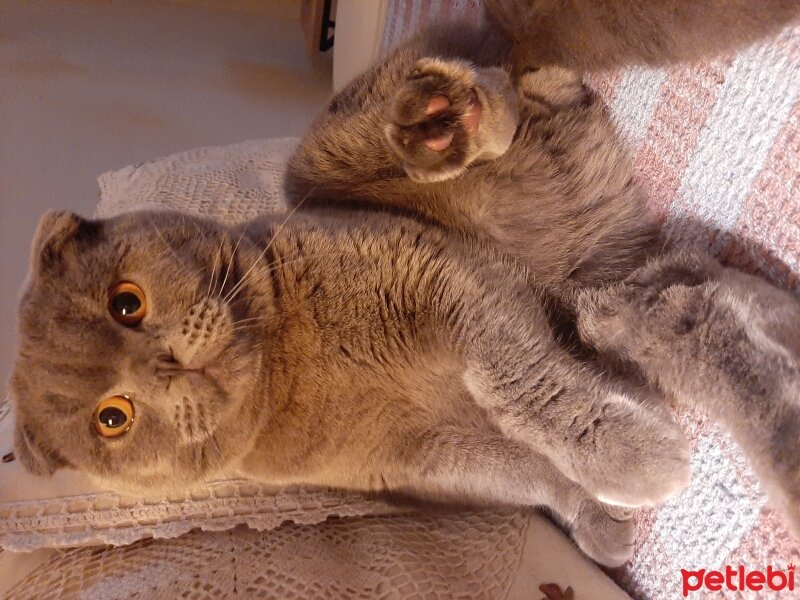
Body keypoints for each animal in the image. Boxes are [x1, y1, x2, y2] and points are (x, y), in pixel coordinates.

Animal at [10, 0, 800, 568]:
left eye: (126, 303)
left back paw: (443, 120)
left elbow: (522, 390)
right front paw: (603, 516)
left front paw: (632, 460)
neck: (293, 365)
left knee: (491, 88)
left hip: (327, 158)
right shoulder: (432, 458)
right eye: (111, 419)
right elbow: (533, 475)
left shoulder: (453, 282)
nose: (164, 362)